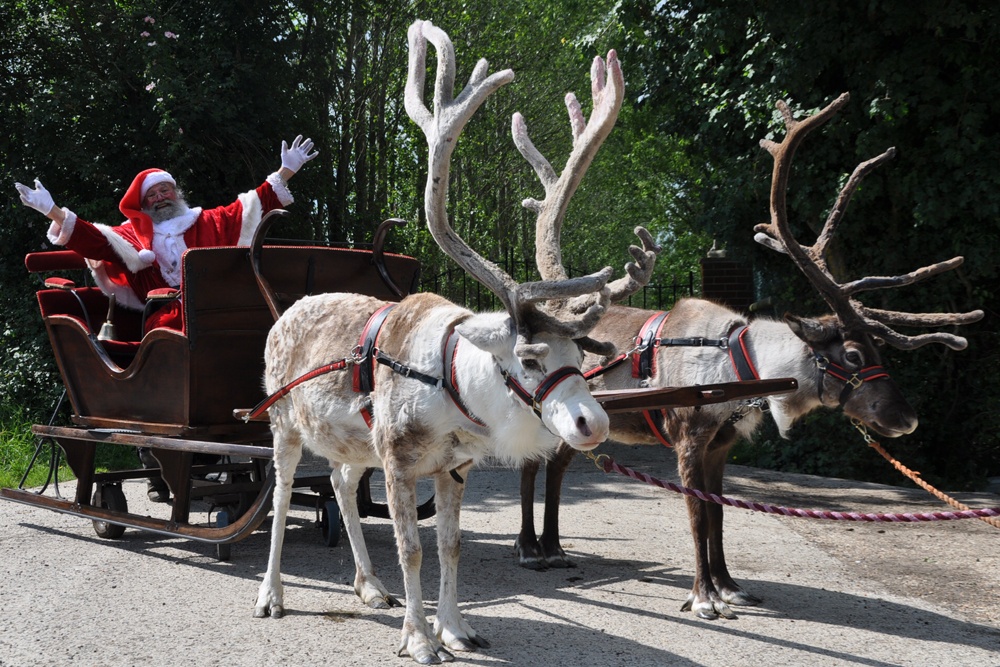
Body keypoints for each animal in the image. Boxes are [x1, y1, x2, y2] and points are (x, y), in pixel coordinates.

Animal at [252, 20, 658, 663]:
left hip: (352, 443)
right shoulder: (397, 460)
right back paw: (271, 594)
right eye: (530, 357)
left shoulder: (453, 467)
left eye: (578, 355)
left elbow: (451, 546)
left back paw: (370, 587)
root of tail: (284, 310)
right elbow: (412, 548)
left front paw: (456, 629)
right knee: (284, 493)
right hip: (284, 423)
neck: (450, 387)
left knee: (339, 483)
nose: (592, 423)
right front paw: (420, 637)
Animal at [516, 92, 984, 621]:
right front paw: (703, 597)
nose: (906, 419)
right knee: (531, 464)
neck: (738, 368)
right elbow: (698, 516)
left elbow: (720, 514)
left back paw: (555, 546)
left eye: (877, 348)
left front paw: (729, 586)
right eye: (852, 354)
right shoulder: (688, 439)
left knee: (557, 466)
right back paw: (529, 548)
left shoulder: (723, 445)